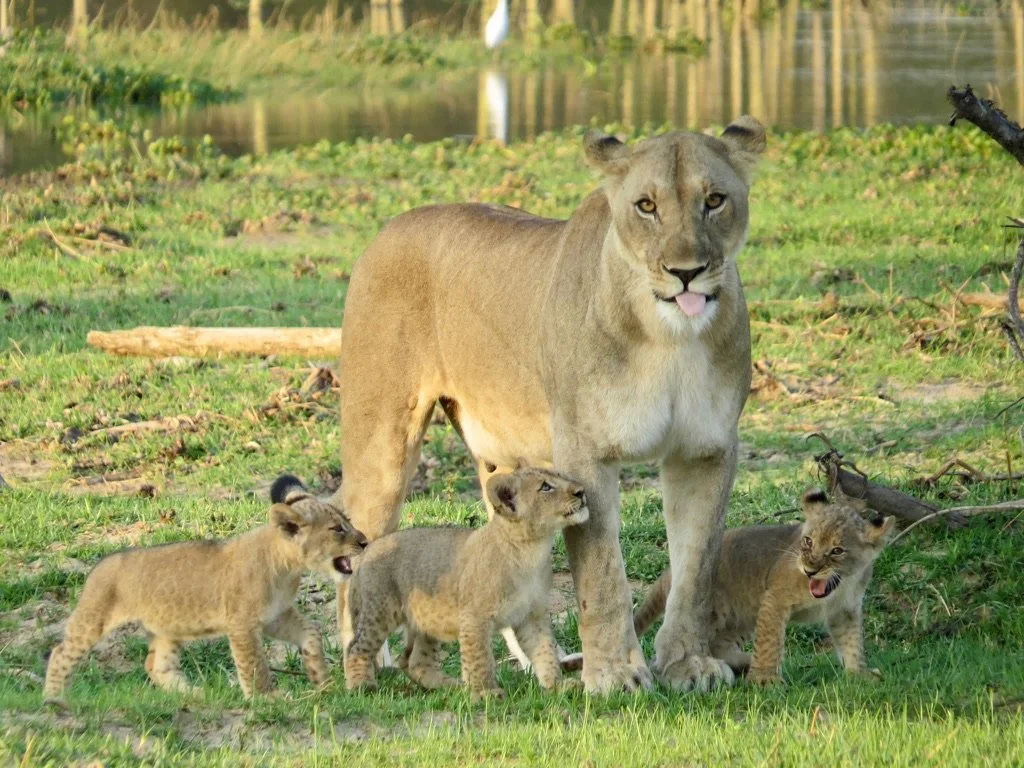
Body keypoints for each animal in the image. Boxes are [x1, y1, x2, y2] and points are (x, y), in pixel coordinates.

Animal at [42, 475, 367, 705]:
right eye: (337, 529)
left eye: (348, 521)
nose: (364, 541)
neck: (287, 567)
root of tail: (99, 564)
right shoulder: (242, 624)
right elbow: (254, 665)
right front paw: (267, 699)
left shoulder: (276, 616)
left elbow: (310, 633)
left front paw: (322, 681)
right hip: (94, 618)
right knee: (60, 652)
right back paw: (54, 699)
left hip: (167, 629)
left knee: (156, 665)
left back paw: (195, 694)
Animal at [342, 468, 588, 699]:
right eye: (545, 487)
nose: (581, 491)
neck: (531, 550)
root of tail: (367, 550)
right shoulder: (475, 616)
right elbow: (480, 657)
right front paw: (484, 693)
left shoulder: (531, 615)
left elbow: (545, 652)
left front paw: (557, 686)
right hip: (380, 611)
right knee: (356, 648)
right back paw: (361, 686)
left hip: (425, 621)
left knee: (414, 661)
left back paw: (451, 686)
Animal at [621, 490, 895, 684]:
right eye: (808, 541)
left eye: (837, 551)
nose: (810, 570)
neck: (842, 585)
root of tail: (670, 572)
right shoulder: (776, 598)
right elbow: (770, 641)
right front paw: (764, 681)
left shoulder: (845, 610)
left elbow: (852, 642)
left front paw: (859, 675)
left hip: (742, 616)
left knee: (719, 643)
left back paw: (741, 663)